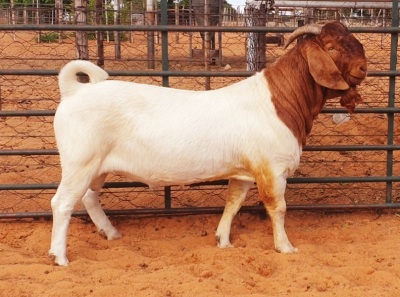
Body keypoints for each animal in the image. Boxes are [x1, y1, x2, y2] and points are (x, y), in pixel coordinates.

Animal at [48, 22, 368, 264]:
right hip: (80, 162)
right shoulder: (271, 169)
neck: (280, 100)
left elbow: (233, 203)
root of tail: (75, 92)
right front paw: (286, 247)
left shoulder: (244, 172)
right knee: (62, 203)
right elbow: (277, 207)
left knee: (89, 197)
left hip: (98, 166)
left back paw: (111, 233)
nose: (364, 68)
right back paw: (59, 257)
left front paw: (223, 240)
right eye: (331, 47)